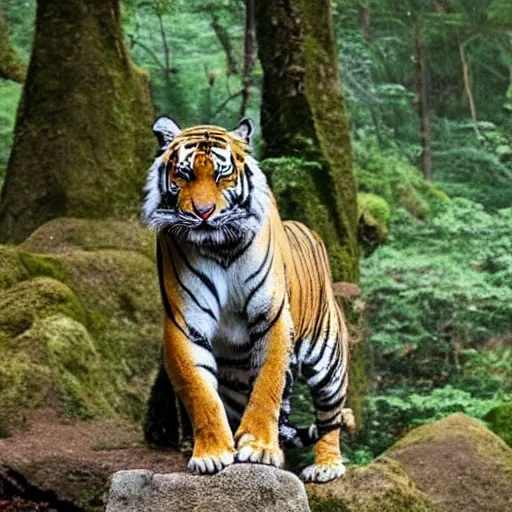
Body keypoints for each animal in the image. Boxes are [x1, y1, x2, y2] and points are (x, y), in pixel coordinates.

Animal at [142, 116, 354, 484]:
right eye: (184, 175)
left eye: (221, 175)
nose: (204, 213)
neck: (220, 246)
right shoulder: (186, 322)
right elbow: (201, 393)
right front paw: (213, 453)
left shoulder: (271, 316)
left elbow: (267, 385)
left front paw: (258, 449)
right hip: (235, 380)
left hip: (329, 360)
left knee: (331, 416)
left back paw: (326, 465)